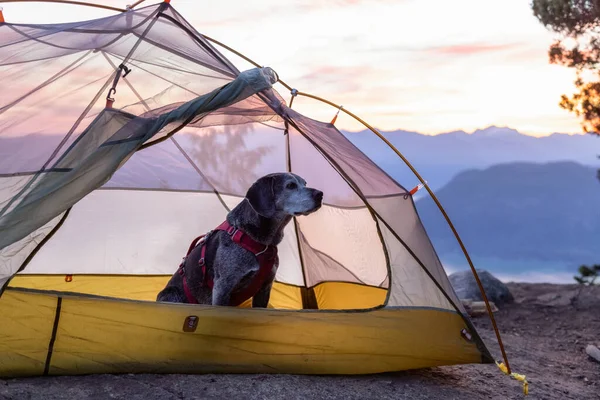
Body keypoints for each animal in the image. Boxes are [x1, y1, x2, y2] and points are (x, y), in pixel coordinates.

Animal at [156, 172, 324, 306]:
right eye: (290, 185)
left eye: (305, 183)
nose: (320, 194)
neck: (261, 243)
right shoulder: (222, 287)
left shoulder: (264, 288)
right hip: (172, 295)